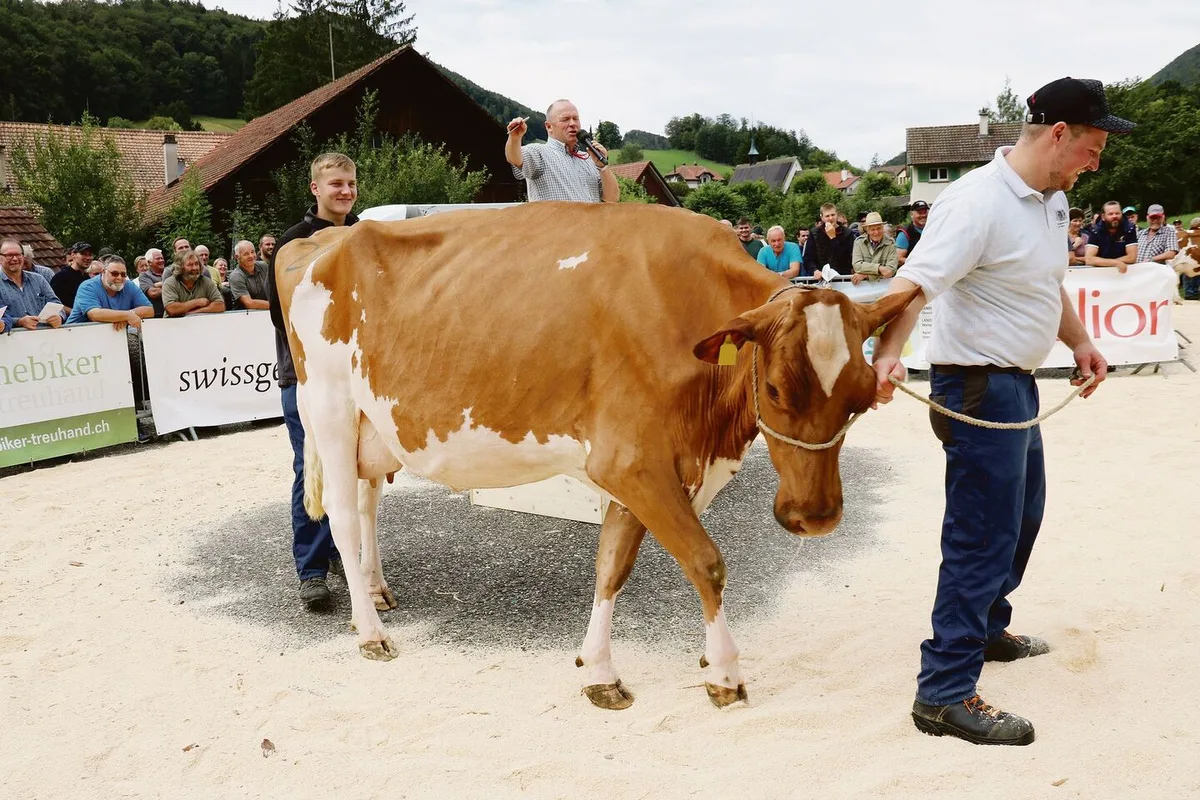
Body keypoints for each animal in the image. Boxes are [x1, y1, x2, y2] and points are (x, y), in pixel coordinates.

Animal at [275, 201, 916, 709]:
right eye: (778, 389)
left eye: (864, 395)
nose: (816, 517)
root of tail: (324, 238)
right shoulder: (631, 461)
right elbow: (706, 561)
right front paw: (726, 673)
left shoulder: (644, 469)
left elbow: (612, 566)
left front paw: (600, 670)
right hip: (328, 407)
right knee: (340, 514)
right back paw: (369, 630)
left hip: (374, 428)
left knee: (367, 505)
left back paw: (376, 590)